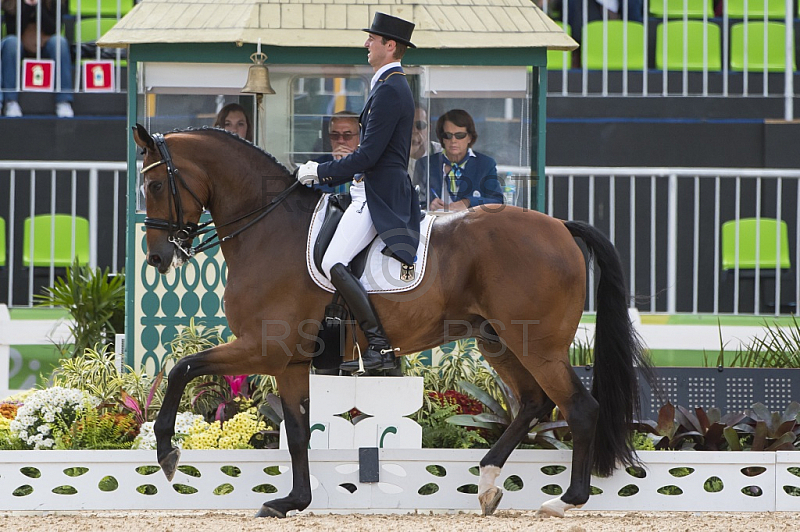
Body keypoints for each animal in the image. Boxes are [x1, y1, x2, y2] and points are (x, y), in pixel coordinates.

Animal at [133, 125, 656, 520]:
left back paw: (565, 501)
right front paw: (292, 501)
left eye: (155, 186)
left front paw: (167, 455)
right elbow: (298, 434)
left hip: (538, 346)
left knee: (579, 408)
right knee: (532, 403)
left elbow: (181, 368)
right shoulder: (289, 362)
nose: (157, 257)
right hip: (498, 342)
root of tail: (560, 227)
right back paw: (488, 481)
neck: (268, 229)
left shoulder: (264, 347)